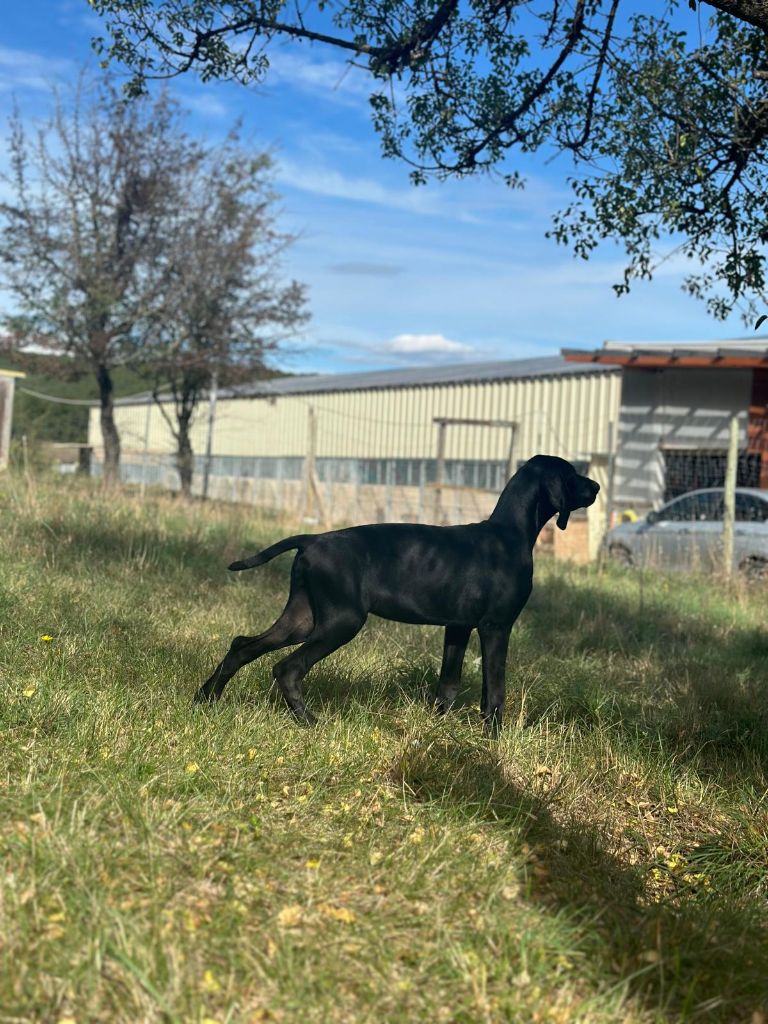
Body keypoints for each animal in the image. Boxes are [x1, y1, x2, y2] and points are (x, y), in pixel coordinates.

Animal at [193, 454, 602, 729]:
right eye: (572, 475)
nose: (597, 486)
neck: (508, 534)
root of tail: (312, 539)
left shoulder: (458, 628)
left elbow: (448, 685)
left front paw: (440, 733)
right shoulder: (495, 627)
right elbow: (495, 692)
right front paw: (493, 740)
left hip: (302, 618)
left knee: (242, 645)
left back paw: (206, 699)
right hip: (341, 622)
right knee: (287, 668)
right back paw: (310, 721)